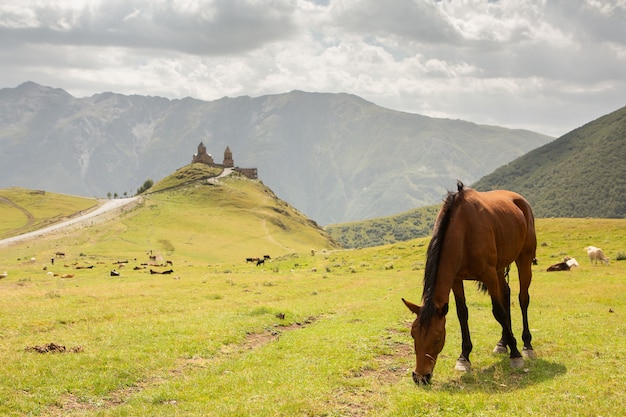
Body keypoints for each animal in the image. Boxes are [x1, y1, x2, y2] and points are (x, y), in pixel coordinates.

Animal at [402, 182, 532, 384]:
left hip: (524, 259)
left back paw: (526, 345)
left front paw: (516, 354)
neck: (464, 231)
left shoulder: (488, 274)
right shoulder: (456, 279)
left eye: (438, 339)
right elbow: (462, 313)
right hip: (499, 268)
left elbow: (498, 312)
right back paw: (503, 343)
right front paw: (464, 357)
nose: (420, 377)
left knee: (522, 298)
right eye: (413, 335)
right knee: (506, 293)